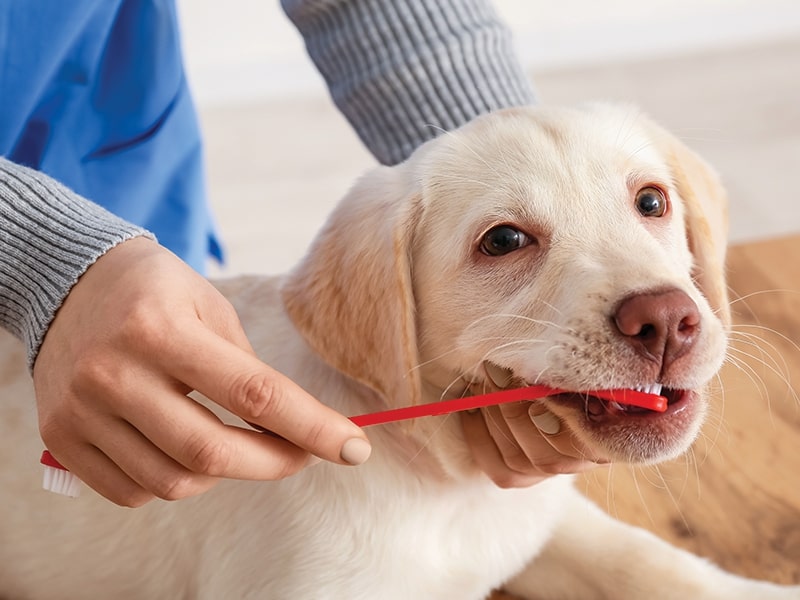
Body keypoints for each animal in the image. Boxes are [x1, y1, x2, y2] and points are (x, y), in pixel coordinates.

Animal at [1, 105, 800, 596]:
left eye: (652, 202)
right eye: (504, 240)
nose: (666, 320)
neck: (446, 487)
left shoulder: (539, 520)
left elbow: (644, 558)